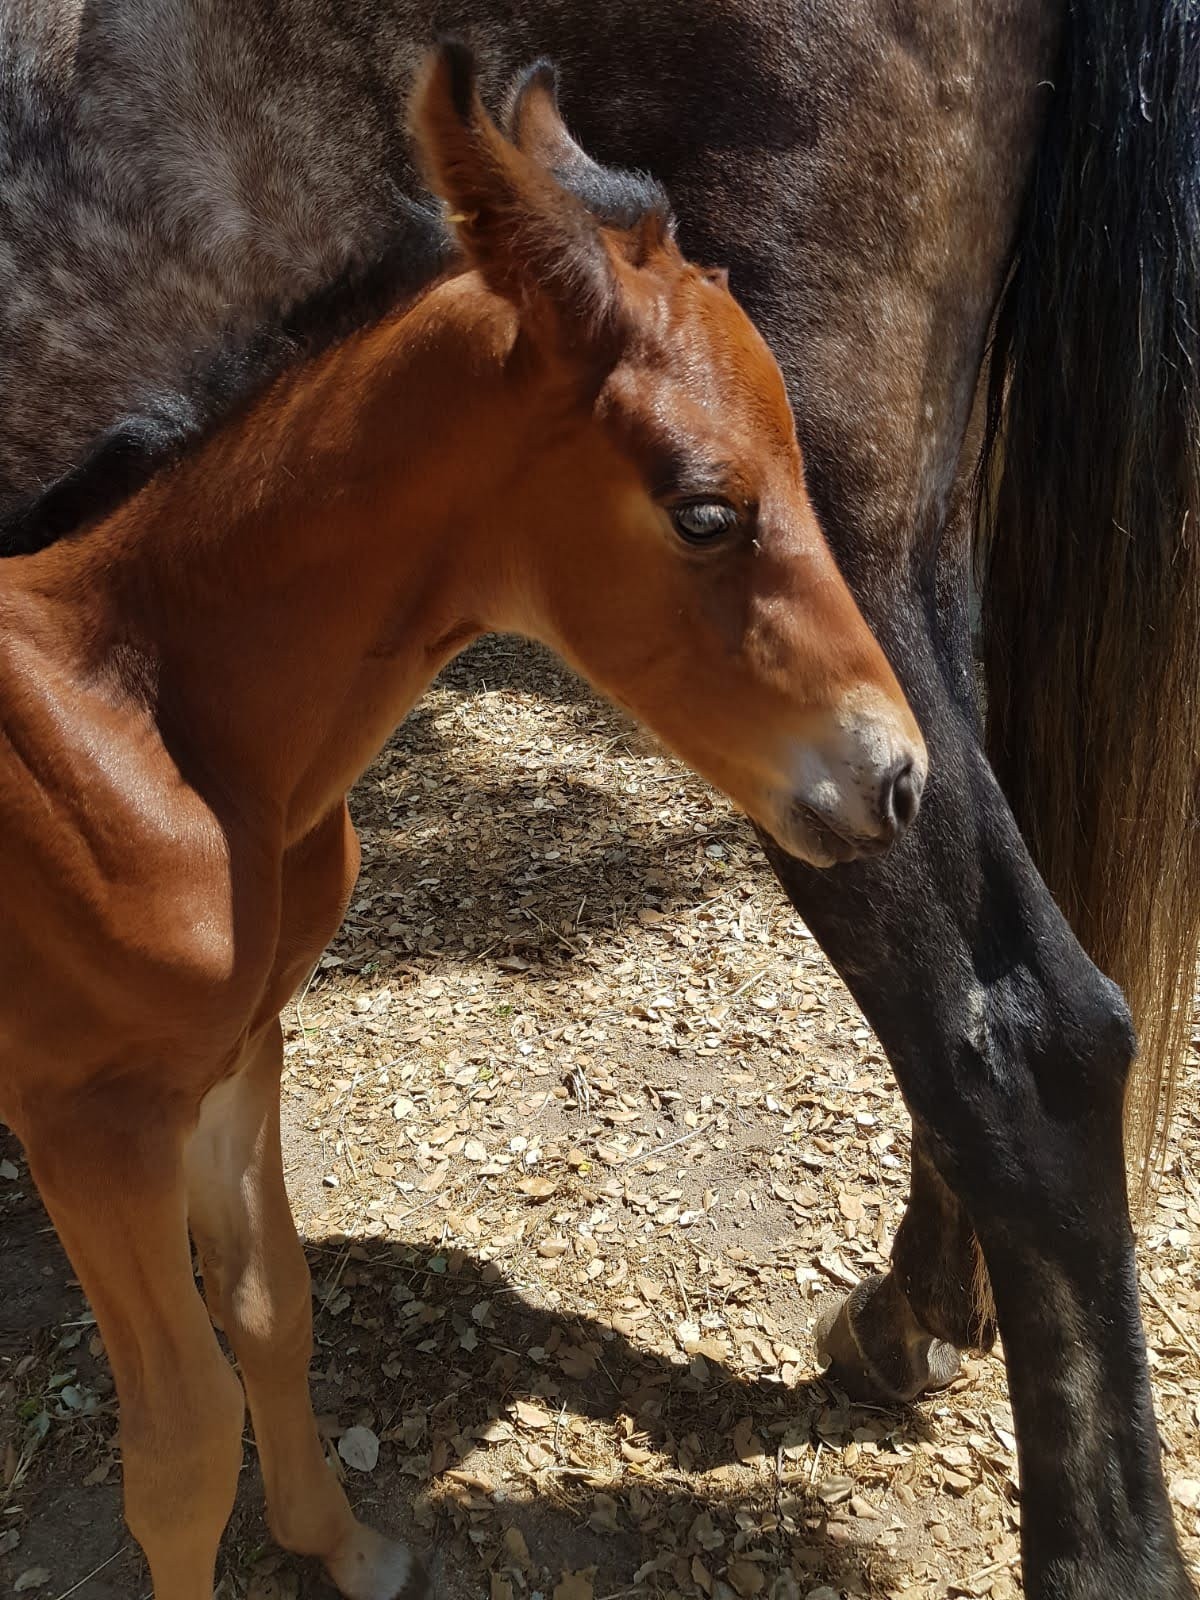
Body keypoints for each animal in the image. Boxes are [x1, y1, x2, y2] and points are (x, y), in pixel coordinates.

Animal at [1, 3, 1197, 1597]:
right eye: (704, 510)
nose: (890, 774)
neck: (139, 711)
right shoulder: (106, 1106)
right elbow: (208, 1405)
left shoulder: (183, 1082)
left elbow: (242, 1348)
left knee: (1025, 1029)